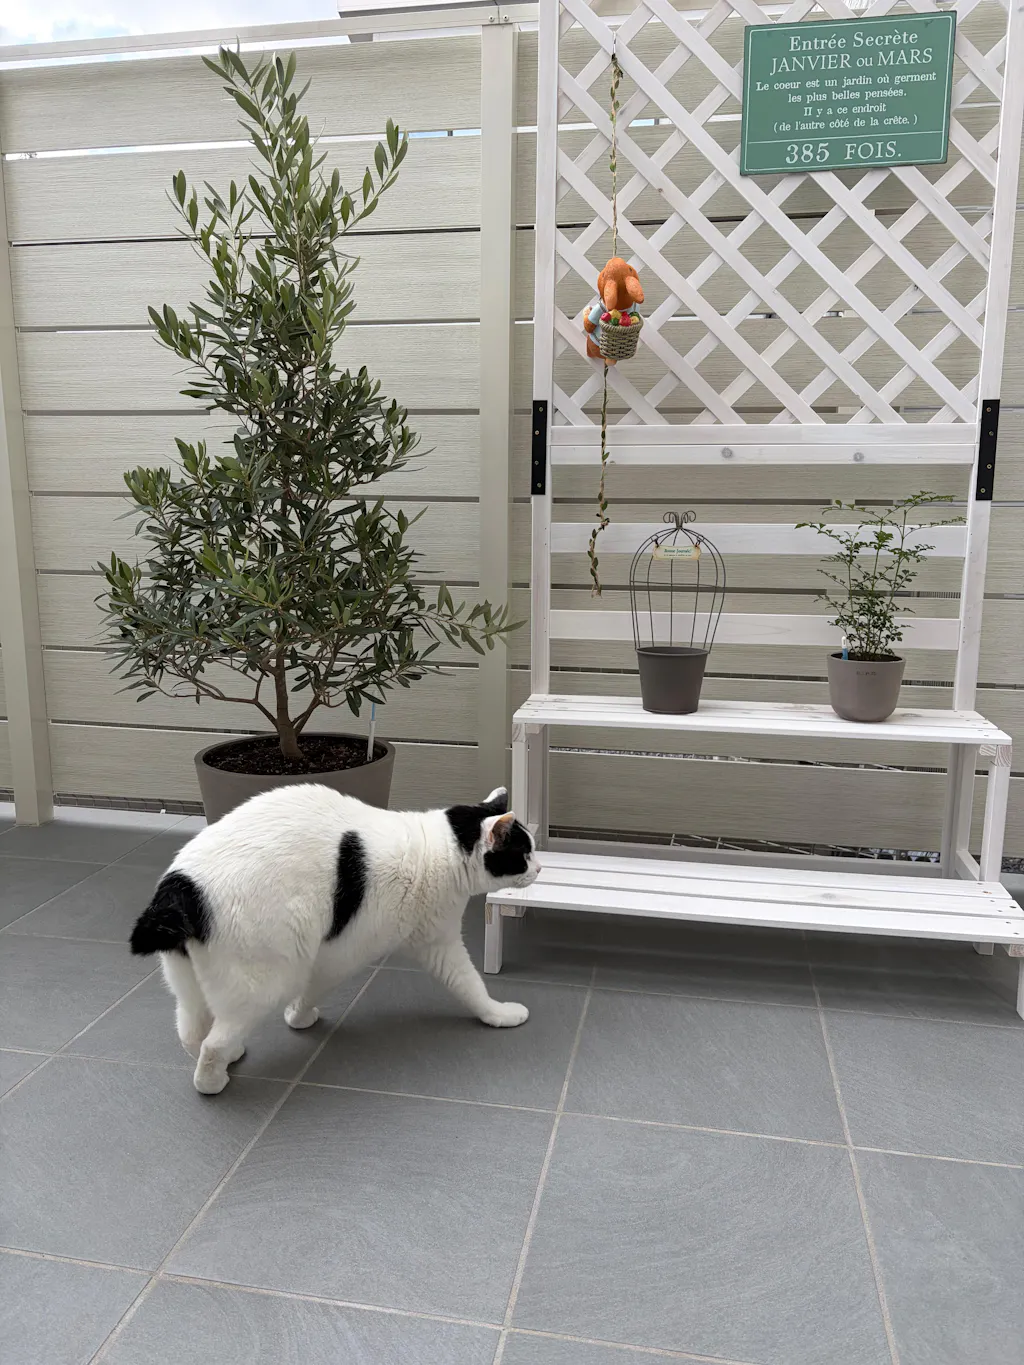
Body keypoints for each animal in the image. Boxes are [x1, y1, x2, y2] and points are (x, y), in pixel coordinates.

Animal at [129, 783, 539, 1094]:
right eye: (524, 853)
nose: (539, 868)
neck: (439, 850)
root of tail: (181, 888)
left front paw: (297, 1018)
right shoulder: (371, 949)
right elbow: (470, 986)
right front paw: (499, 1014)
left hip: (190, 982)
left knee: (190, 1029)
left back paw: (226, 1055)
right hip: (271, 978)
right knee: (213, 1042)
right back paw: (212, 1081)